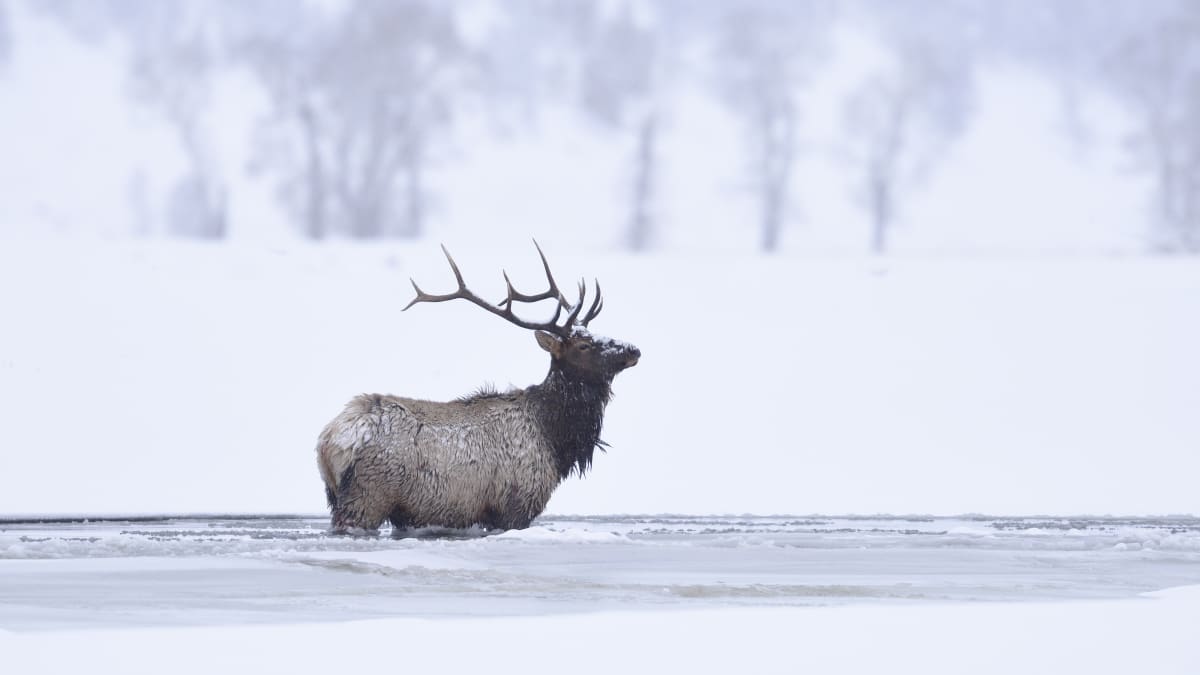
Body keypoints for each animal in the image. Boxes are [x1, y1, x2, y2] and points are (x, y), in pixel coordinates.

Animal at [314, 241, 643, 530]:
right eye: (584, 345)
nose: (634, 350)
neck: (555, 439)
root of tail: (329, 441)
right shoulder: (516, 503)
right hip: (368, 494)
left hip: (339, 496)